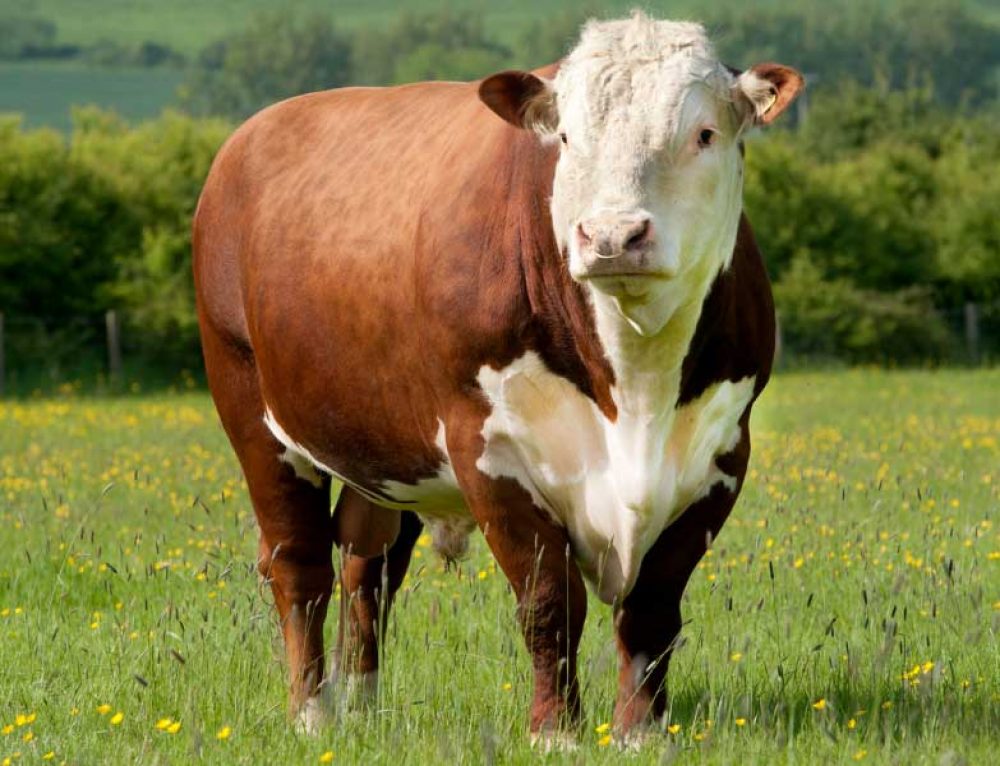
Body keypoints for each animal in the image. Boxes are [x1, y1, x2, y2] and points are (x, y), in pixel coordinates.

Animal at [193, 12, 802, 743]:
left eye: (704, 133)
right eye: (566, 138)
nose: (612, 235)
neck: (636, 388)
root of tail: (250, 135)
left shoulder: (720, 455)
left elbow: (652, 607)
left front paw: (639, 732)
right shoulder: (487, 450)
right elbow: (548, 601)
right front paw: (556, 730)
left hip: (387, 448)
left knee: (369, 564)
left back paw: (362, 705)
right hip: (251, 407)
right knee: (300, 563)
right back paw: (313, 713)